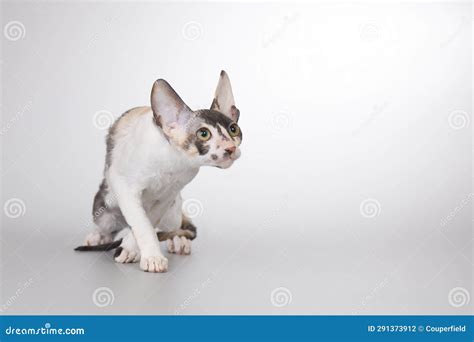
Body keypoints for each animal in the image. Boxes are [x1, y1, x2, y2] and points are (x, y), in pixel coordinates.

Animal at [76, 71, 244, 272]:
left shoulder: (168, 196)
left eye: (234, 130)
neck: (173, 163)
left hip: (173, 210)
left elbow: (148, 221)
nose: (231, 148)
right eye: (204, 134)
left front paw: (133, 249)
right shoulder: (124, 187)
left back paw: (178, 240)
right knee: (109, 225)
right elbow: (141, 223)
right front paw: (150, 255)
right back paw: (98, 237)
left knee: (172, 226)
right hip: (105, 206)